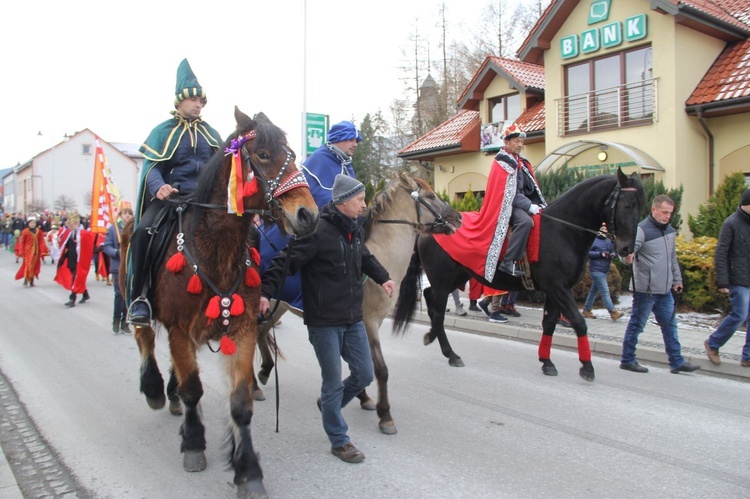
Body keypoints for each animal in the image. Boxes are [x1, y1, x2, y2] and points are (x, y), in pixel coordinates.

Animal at [119, 107, 318, 498]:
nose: (308, 214)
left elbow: (239, 404)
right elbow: (193, 388)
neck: (214, 248)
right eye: (262, 154)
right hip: (135, 293)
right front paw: (194, 445)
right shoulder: (180, 329)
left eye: (292, 154)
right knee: (145, 339)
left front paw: (248, 471)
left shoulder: (241, 330)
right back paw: (155, 389)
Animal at [256, 174, 462, 436]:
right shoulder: (368, 322)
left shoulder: (364, 322)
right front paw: (385, 415)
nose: (458, 217)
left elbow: (359, 362)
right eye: (430, 196)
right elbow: (380, 368)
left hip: (277, 305)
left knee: (261, 332)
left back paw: (264, 371)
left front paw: (362, 397)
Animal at [394, 168, 648, 382]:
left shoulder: (555, 290)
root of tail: (428, 229)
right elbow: (578, 322)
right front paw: (587, 367)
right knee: (437, 311)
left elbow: (549, 324)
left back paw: (432, 337)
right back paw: (451, 353)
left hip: (456, 278)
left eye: (640, 206)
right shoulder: (558, 288)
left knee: (429, 298)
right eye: (627, 205)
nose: (627, 249)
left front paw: (547, 362)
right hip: (444, 279)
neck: (562, 230)